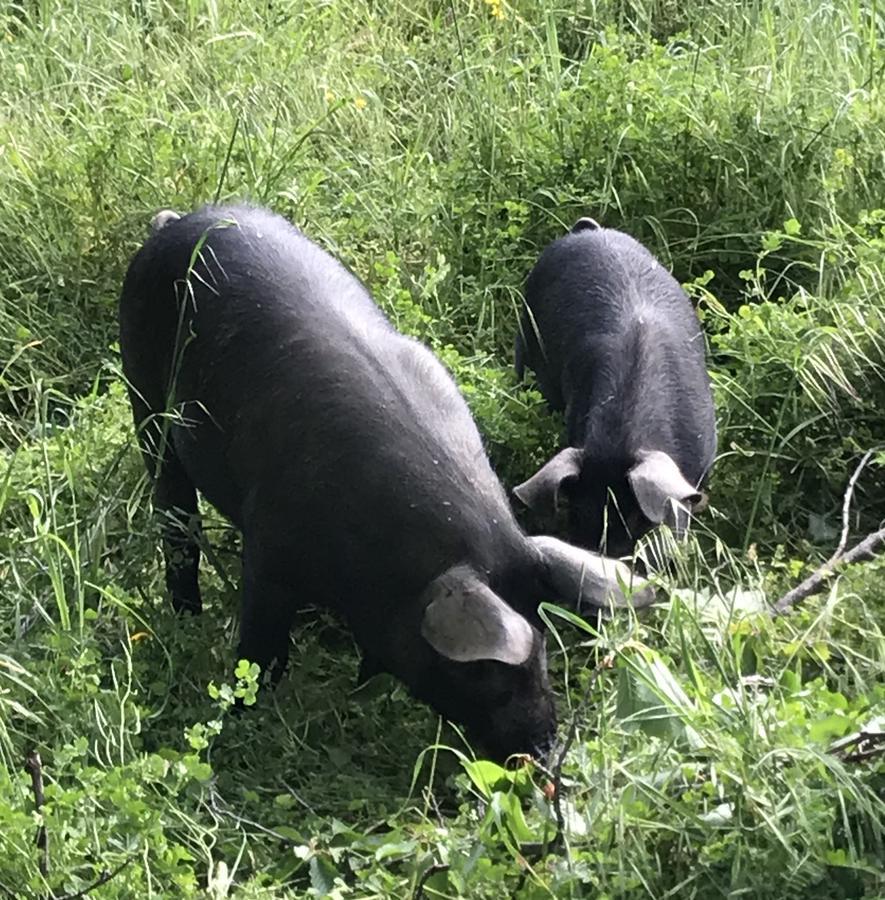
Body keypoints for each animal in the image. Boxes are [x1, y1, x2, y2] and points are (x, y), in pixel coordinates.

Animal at [119, 206, 648, 768]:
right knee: (174, 514)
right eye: (486, 672)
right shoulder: (269, 548)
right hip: (145, 398)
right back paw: (186, 617)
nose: (544, 753)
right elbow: (261, 649)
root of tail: (174, 222)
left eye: (547, 650)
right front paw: (245, 715)